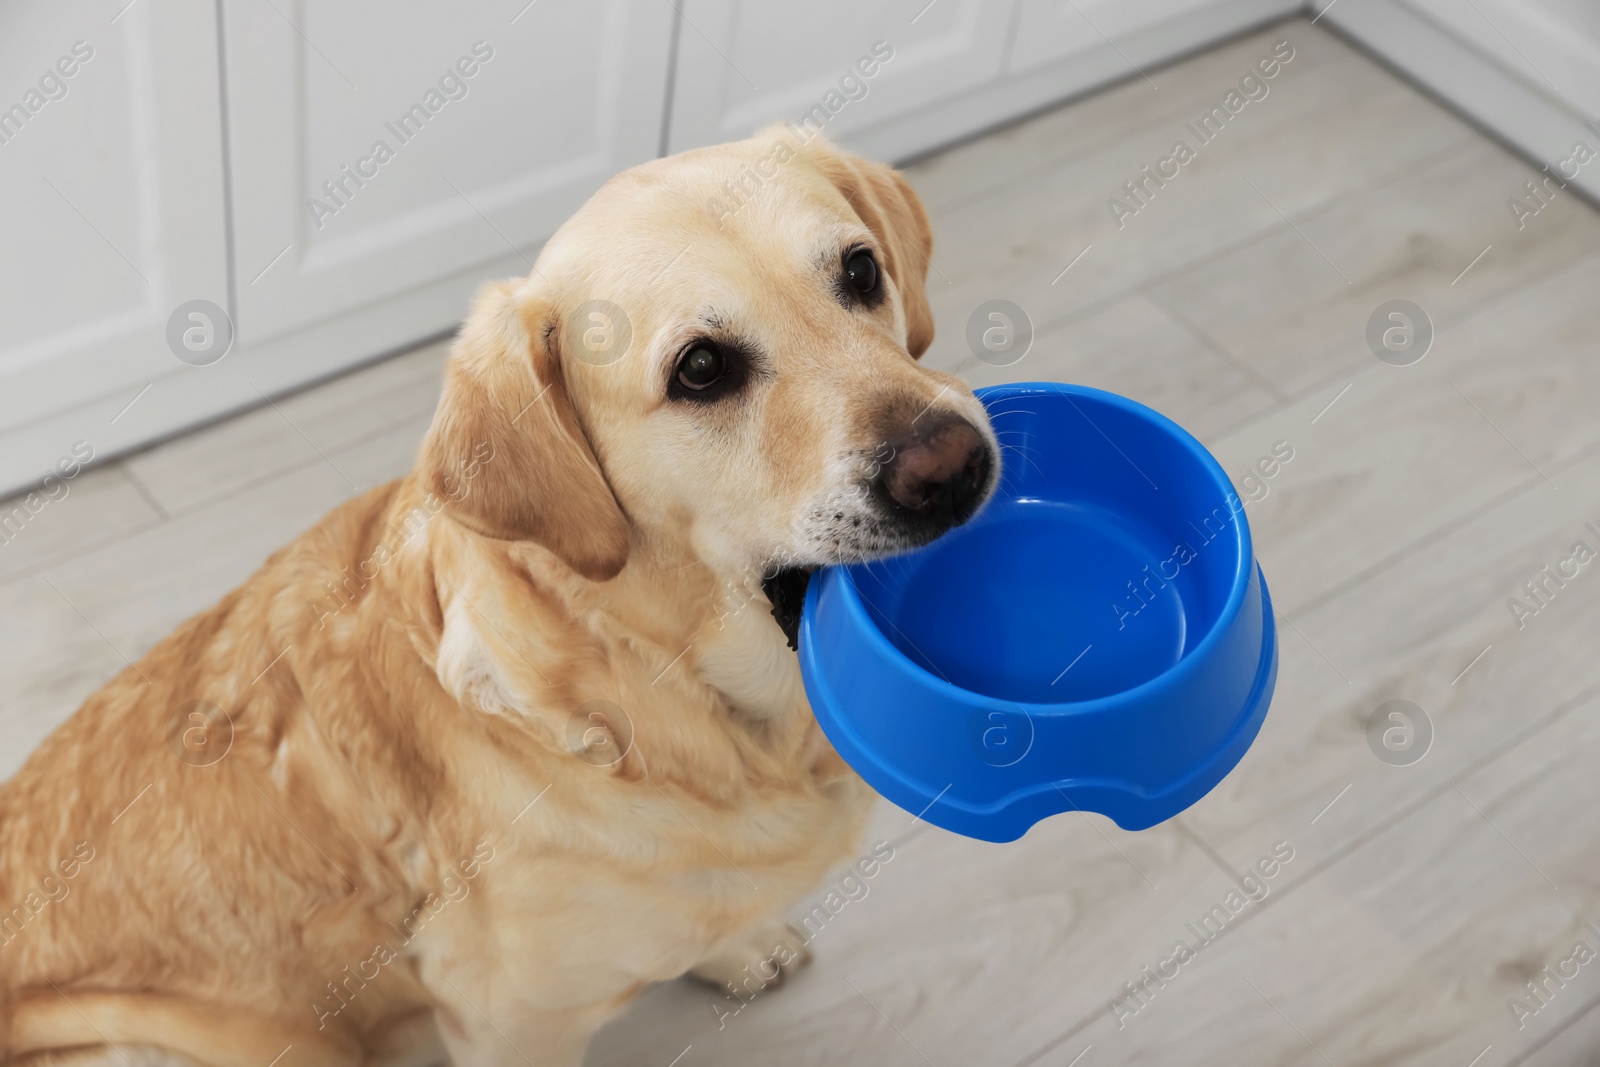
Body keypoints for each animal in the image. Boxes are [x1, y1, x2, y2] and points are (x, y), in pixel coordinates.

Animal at [0, 127, 992, 1067]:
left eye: (859, 270)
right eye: (702, 369)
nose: (952, 468)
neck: (687, 706)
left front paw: (735, 945)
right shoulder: (508, 1021)